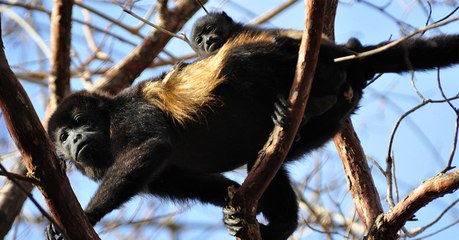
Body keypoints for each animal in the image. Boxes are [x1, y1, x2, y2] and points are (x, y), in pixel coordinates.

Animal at [45, 13, 459, 240]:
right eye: (63, 137)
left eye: (80, 122)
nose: (76, 141)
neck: (108, 124)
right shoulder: (159, 177)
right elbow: (197, 182)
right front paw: (235, 209)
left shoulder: (131, 112)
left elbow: (152, 148)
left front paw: (83, 217)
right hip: (333, 118)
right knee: (263, 161)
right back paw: (282, 224)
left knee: (239, 58)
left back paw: (315, 86)